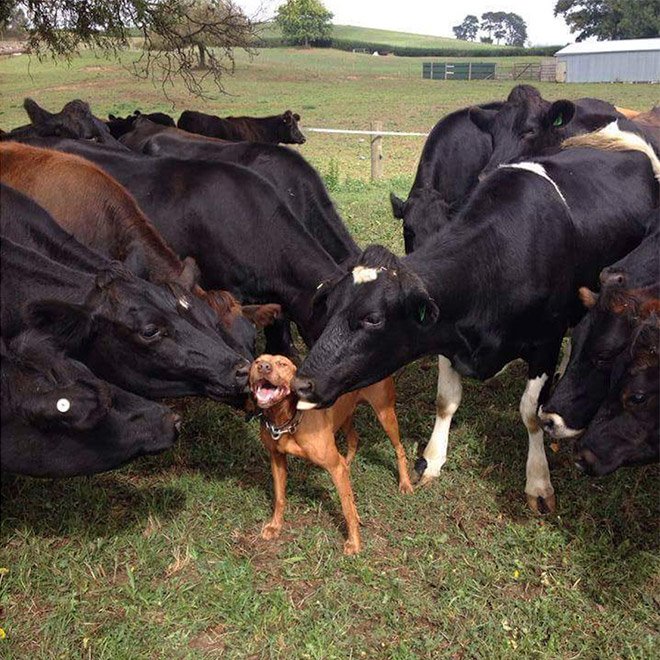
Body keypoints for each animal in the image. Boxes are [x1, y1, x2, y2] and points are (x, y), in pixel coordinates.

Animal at [250, 354, 410, 556]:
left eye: (282, 364)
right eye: (257, 361)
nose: (263, 367)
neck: (287, 420)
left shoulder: (334, 466)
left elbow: (347, 508)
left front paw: (354, 543)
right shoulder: (277, 458)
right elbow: (279, 497)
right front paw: (275, 526)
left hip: (385, 414)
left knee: (399, 448)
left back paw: (405, 483)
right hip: (345, 415)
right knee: (354, 440)